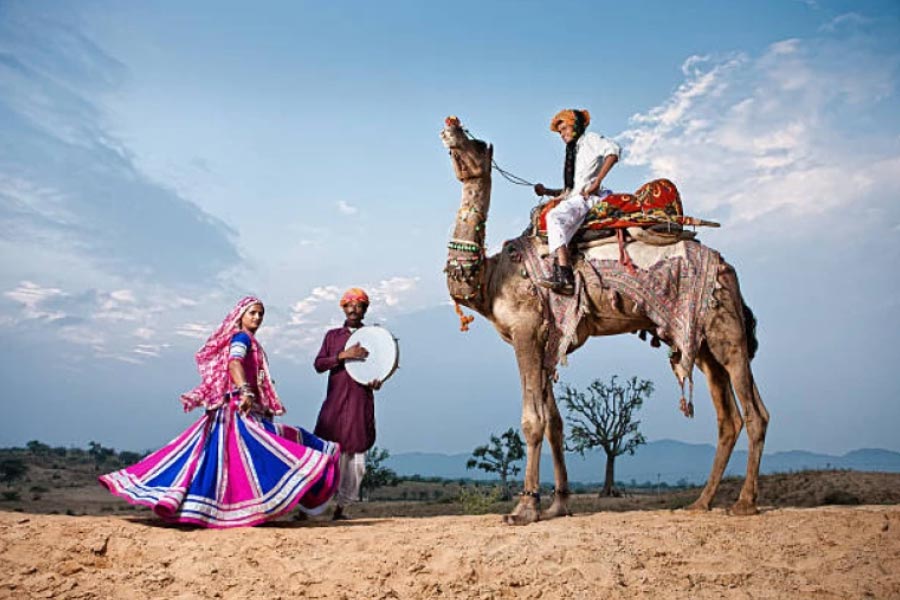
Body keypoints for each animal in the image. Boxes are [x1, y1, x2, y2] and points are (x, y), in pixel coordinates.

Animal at [440, 117, 769, 525]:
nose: (451, 125)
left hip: (726, 329)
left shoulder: (526, 332)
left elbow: (533, 421)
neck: (493, 276)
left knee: (753, 413)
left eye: (476, 142)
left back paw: (744, 503)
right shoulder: (549, 339)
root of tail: (727, 266)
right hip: (703, 339)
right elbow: (555, 423)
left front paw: (525, 508)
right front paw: (559, 504)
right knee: (731, 417)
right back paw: (701, 502)